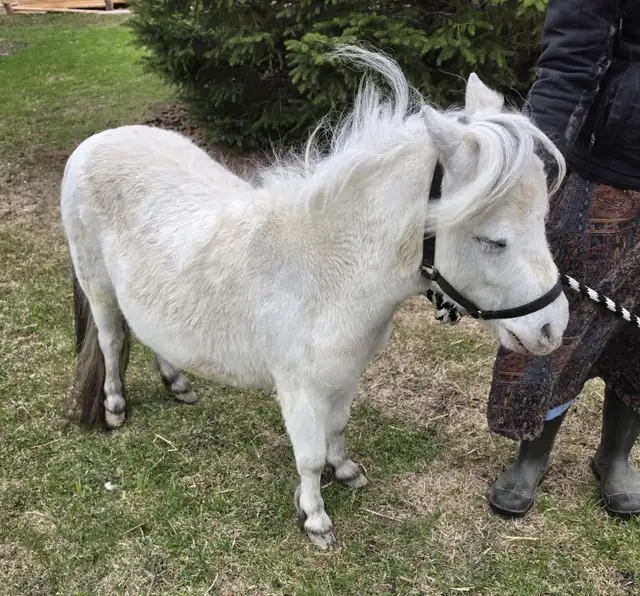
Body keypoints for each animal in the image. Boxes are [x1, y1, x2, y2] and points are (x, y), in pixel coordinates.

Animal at [60, 46, 568, 549]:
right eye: (493, 241)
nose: (553, 328)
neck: (330, 270)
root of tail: (96, 141)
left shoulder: (345, 373)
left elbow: (337, 429)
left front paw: (344, 470)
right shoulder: (299, 388)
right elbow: (307, 456)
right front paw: (316, 519)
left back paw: (177, 383)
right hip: (97, 285)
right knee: (110, 340)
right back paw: (114, 406)